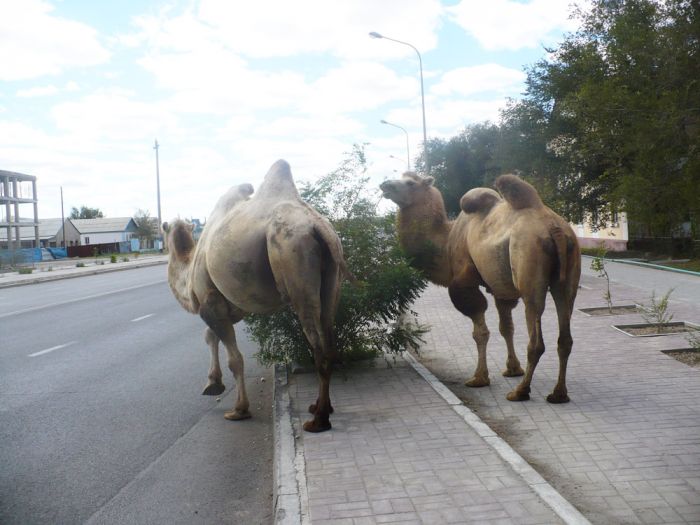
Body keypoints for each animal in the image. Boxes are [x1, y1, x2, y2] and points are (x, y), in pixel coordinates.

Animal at [163, 160, 350, 430]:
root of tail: (318, 227)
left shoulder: (210, 302)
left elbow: (235, 359)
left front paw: (239, 409)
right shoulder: (227, 306)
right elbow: (210, 335)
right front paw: (212, 384)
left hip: (293, 257)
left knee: (318, 345)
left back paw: (318, 420)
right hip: (333, 274)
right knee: (329, 336)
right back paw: (318, 407)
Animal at [380, 172, 584, 402]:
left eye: (410, 183)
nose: (385, 185)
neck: (447, 241)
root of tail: (554, 228)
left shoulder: (463, 282)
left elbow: (480, 332)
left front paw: (479, 378)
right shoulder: (499, 287)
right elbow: (506, 328)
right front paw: (512, 369)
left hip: (530, 270)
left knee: (536, 339)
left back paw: (520, 391)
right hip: (568, 272)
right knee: (565, 332)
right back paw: (559, 393)